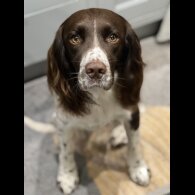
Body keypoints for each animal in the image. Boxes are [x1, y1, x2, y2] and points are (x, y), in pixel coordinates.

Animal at [47, 8, 151, 195]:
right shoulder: (64, 120)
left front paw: (138, 169)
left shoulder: (131, 109)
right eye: (75, 38)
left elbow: (135, 143)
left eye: (113, 37)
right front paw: (67, 175)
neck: (98, 94)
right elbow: (66, 150)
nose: (95, 70)